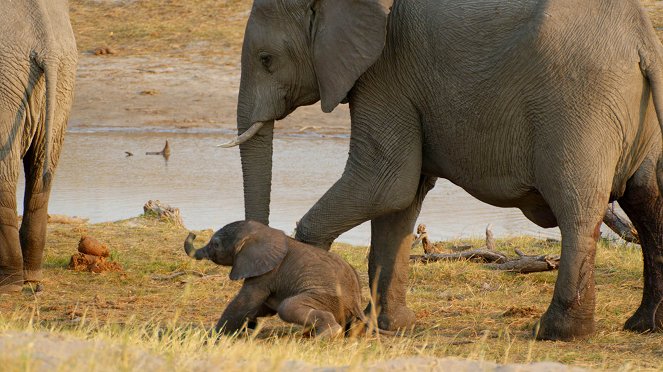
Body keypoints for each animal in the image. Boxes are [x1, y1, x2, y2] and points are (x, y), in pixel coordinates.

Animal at [184, 221, 386, 338]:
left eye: (216, 244)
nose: (193, 233)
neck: (264, 232)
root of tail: (357, 301)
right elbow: (261, 306)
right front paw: (249, 325)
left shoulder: (266, 272)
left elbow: (246, 301)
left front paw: (212, 336)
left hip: (327, 297)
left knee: (287, 307)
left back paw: (323, 336)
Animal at [223, 0, 663, 340]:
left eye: (266, 60)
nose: (251, 326)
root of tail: (641, 38)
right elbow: (399, 200)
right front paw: (389, 327)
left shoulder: (386, 72)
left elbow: (384, 182)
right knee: (647, 203)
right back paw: (643, 325)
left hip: (577, 103)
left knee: (578, 212)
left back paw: (555, 333)